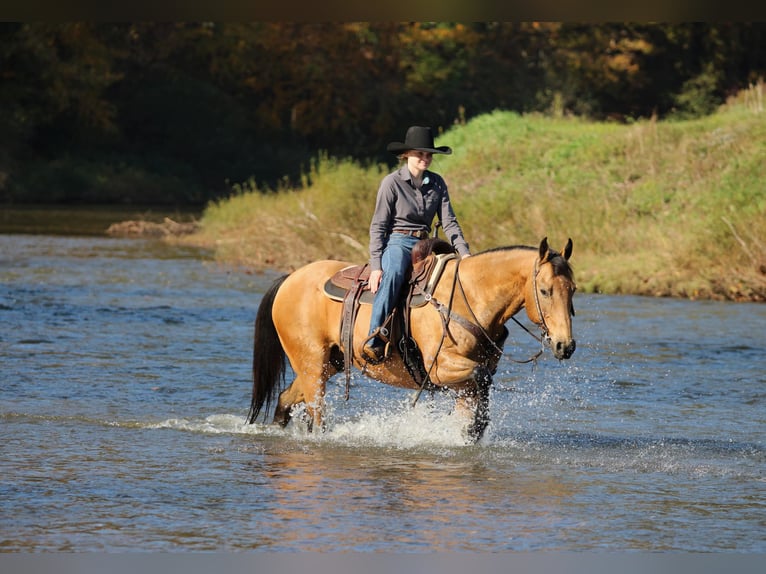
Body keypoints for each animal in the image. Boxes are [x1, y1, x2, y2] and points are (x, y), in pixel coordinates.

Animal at [246, 237, 576, 442]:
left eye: (572, 289)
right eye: (545, 290)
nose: (566, 345)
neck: (469, 297)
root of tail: (289, 279)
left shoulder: (467, 379)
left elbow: (478, 398)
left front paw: (470, 433)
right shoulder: (441, 368)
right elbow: (480, 380)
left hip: (328, 363)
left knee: (285, 399)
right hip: (312, 362)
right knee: (316, 414)